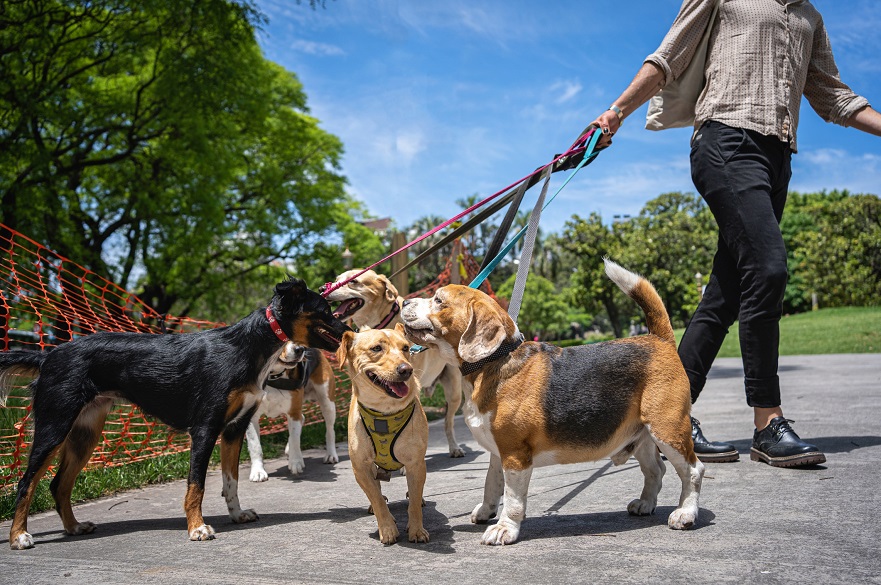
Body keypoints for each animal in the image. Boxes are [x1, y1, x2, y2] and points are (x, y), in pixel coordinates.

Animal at [0, 278, 348, 548]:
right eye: (325, 311)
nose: (346, 329)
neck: (248, 346)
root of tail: (48, 356)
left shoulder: (234, 429)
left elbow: (231, 481)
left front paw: (236, 515)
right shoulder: (205, 429)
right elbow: (197, 485)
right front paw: (197, 527)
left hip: (85, 433)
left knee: (59, 484)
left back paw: (73, 527)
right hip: (55, 426)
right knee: (25, 483)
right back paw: (19, 537)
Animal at [336, 324, 430, 544]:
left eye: (405, 348)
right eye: (376, 348)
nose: (406, 369)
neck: (385, 410)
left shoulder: (415, 463)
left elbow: (414, 499)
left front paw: (416, 529)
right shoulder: (360, 467)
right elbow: (377, 498)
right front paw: (387, 529)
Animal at [402, 258, 704, 544]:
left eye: (438, 300)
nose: (404, 301)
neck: (493, 360)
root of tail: (659, 339)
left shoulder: (515, 455)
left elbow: (513, 500)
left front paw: (504, 529)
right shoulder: (498, 452)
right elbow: (491, 485)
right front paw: (487, 511)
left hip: (667, 430)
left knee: (693, 470)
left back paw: (685, 513)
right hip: (641, 435)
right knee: (656, 470)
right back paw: (645, 504)